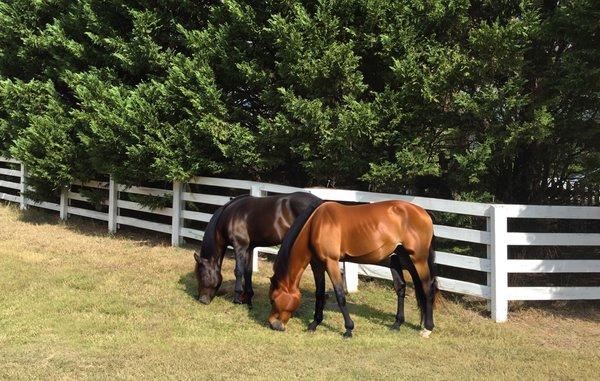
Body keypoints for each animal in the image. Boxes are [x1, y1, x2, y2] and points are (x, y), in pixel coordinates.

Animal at [270, 200, 438, 336]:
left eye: (272, 300)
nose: (273, 325)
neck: (315, 225)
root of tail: (424, 213)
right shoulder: (317, 264)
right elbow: (319, 294)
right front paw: (314, 324)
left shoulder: (331, 262)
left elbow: (340, 295)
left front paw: (348, 329)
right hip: (400, 257)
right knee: (401, 288)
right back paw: (397, 324)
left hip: (418, 260)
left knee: (427, 289)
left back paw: (427, 329)